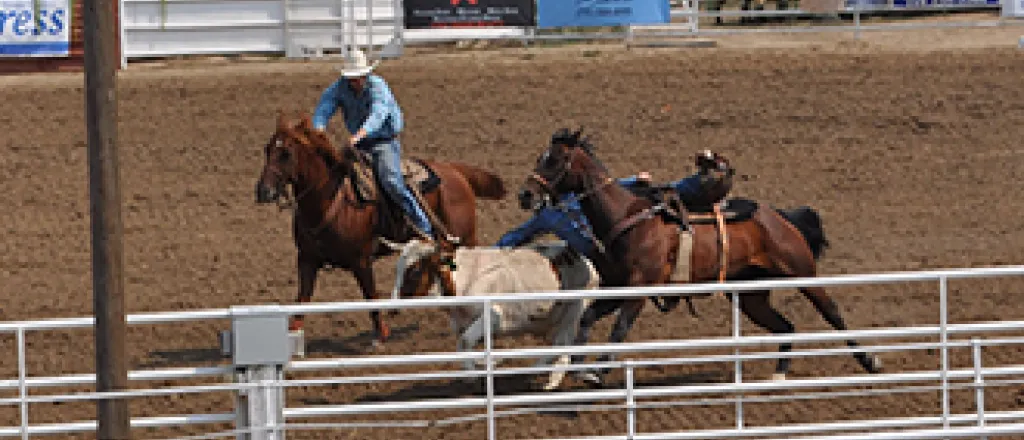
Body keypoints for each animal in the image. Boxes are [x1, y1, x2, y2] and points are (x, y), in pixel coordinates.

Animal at [253, 112, 505, 347]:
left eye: (286, 154)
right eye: (267, 149)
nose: (263, 191)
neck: (333, 202)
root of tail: (454, 170)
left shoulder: (361, 261)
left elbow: (371, 296)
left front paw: (381, 335)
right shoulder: (306, 259)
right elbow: (302, 300)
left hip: (466, 237)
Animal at [520, 127, 880, 384]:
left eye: (553, 159)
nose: (525, 195)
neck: (627, 217)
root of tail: (779, 216)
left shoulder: (640, 288)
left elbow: (621, 327)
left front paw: (597, 371)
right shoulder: (616, 289)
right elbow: (588, 318)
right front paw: (579, 365)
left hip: (802, 272)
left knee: (832, 312)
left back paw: (870, 361)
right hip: (751, 296)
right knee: (785, 326)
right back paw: (779, 373)